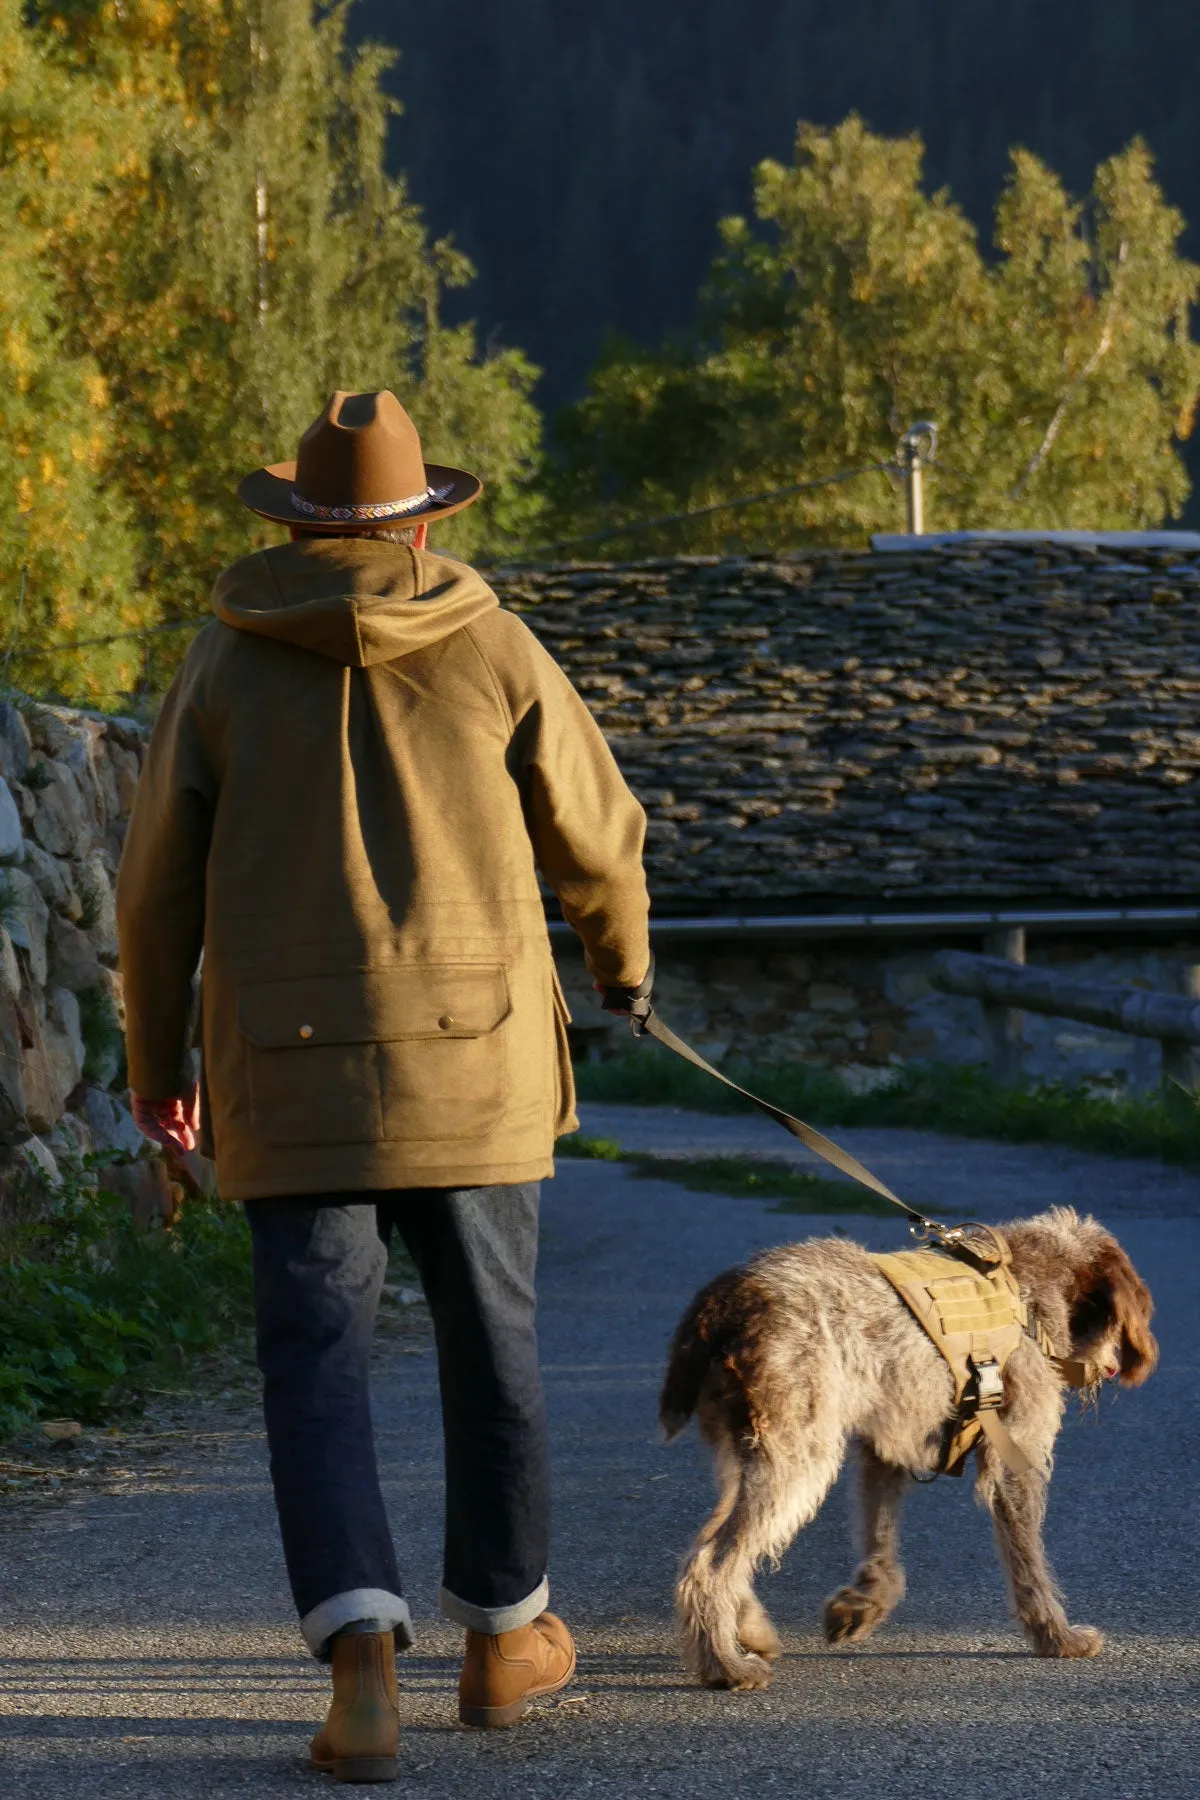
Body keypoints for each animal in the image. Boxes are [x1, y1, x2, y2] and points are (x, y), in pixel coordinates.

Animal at [662, 1209, 1158, 1684]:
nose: (1114, 1364)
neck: (1030, 1286)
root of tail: (725, 1303)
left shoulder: (885, 1450)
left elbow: (881, 1540)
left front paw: (861, 1606)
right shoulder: (1015, 1455)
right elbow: (1029, 1560)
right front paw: (1056, 1635)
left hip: (746, 1453)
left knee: (711, 1543)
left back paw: (750, 1632)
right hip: (798, 1455)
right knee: (711, 1563)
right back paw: (725, 1666)